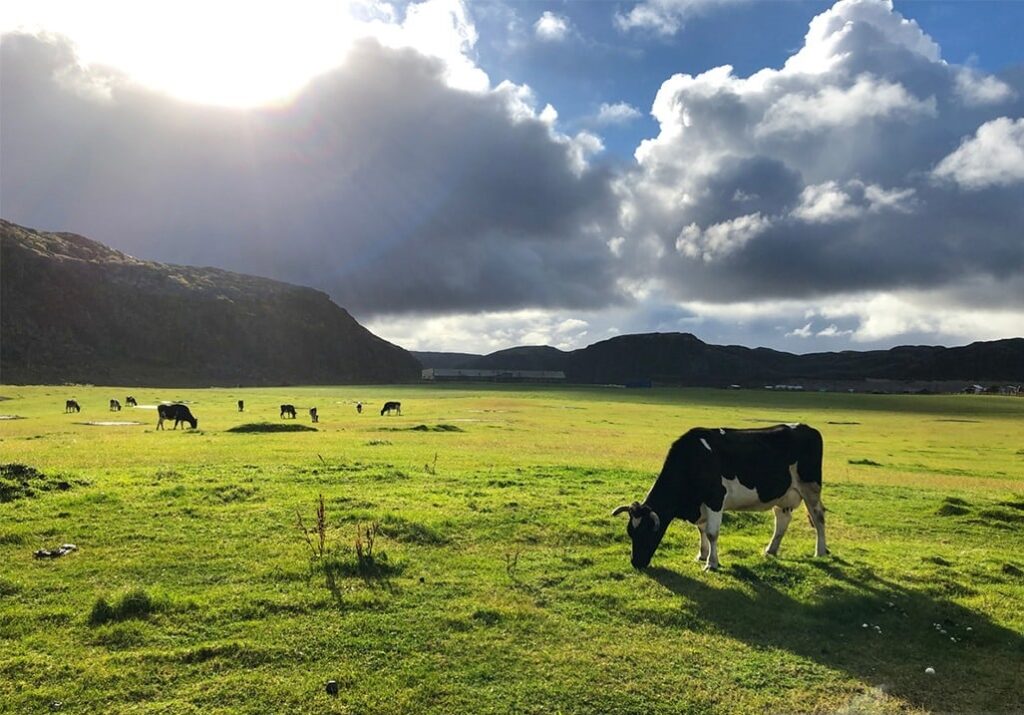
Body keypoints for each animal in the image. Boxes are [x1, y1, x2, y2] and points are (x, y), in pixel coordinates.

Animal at [610, 424, 827, 569]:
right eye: (631, 533)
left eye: (647, 533)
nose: (636, 562)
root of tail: (808, 428)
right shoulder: (700, 506)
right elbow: (701, 530)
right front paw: (701, 555)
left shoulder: (715, 499)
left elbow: (712, 533)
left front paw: (711, 563)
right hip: (783, 495)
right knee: (782, 519)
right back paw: (770, 550)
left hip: (810, 488)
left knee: (818, 517)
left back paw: (820, 551)